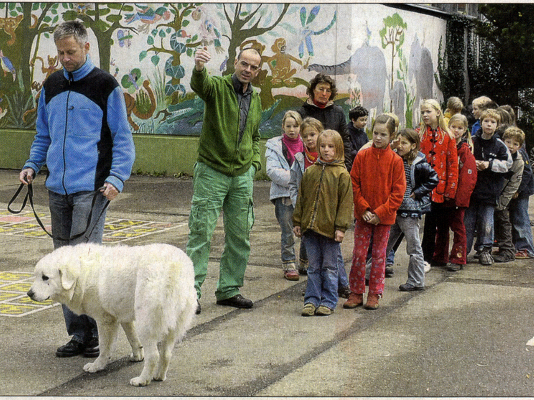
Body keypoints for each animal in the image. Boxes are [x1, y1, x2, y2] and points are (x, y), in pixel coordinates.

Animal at [27, 242, 199, 386]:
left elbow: (104, 347)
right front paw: (137, 356)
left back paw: (142, 380)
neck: (83, 273)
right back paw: (159, 376)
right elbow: (132, 339)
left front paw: (97, 366)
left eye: (45, 277)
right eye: (36, 276)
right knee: (166, 353)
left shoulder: (105, 320)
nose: (29, 293)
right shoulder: (122, 316)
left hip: (146, 321)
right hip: (173, 324)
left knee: (154, 355)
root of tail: (175, 267)